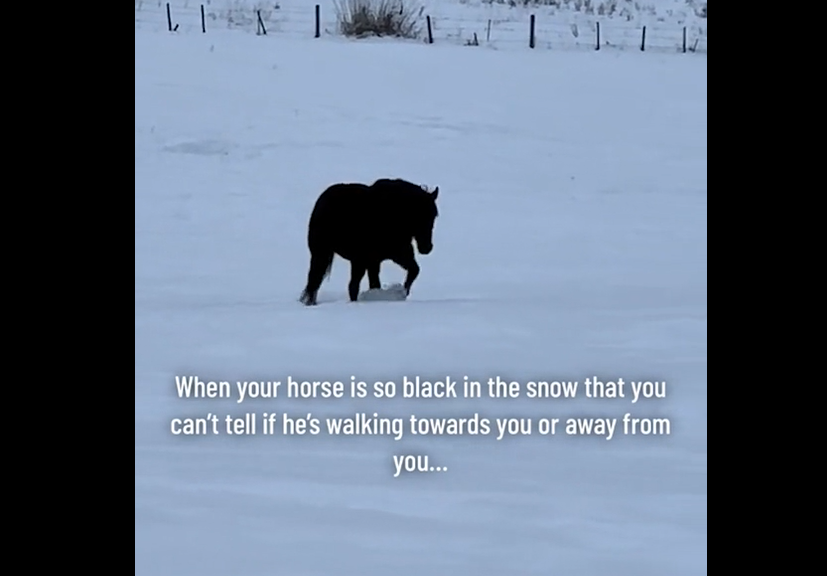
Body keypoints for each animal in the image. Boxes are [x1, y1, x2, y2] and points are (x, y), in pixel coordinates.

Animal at [299, 178, 440, 306]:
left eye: (433, 216)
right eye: (418, 215)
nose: (426, 247)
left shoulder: (389, 257)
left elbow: (414, 270)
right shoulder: (383, 256)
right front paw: (401, 293)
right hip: (325, 254)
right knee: (319, 282)